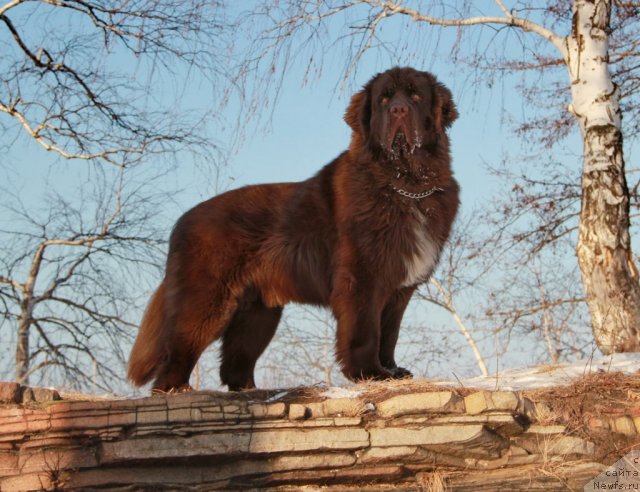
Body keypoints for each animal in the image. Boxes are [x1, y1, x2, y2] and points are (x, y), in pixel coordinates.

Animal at [127, 67, 458, 392]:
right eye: (384, 99)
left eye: (415, 96)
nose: (398, 109)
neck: (406, 185)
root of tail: (182, 219)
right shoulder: (362, 279)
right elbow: (366, 332)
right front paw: (369, 373)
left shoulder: (399, 288)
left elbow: (389, 334)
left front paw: (392, 371)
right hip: (207, 299)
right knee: (178, 350)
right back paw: (178, 389)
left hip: (258, 313)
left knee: (235, 362)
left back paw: (251, 391)